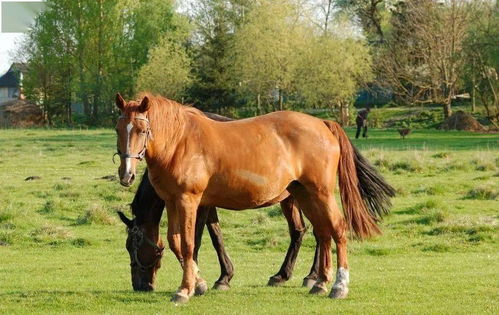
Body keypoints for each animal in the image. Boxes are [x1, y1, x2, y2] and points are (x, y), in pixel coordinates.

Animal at [113, 93, 394, 304]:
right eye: (118, 128)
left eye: (141, 129)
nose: (140, 285)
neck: (180, 141)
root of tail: (323, 123)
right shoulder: (173, 202)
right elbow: (176, 242)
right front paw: (199, 281)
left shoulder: (192, 202)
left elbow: (194, 243)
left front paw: (189, 288)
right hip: (303, 194)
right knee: (322, 233)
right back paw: (318, 282)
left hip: (320, 193)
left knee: (336, 229)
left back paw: (337, 285)